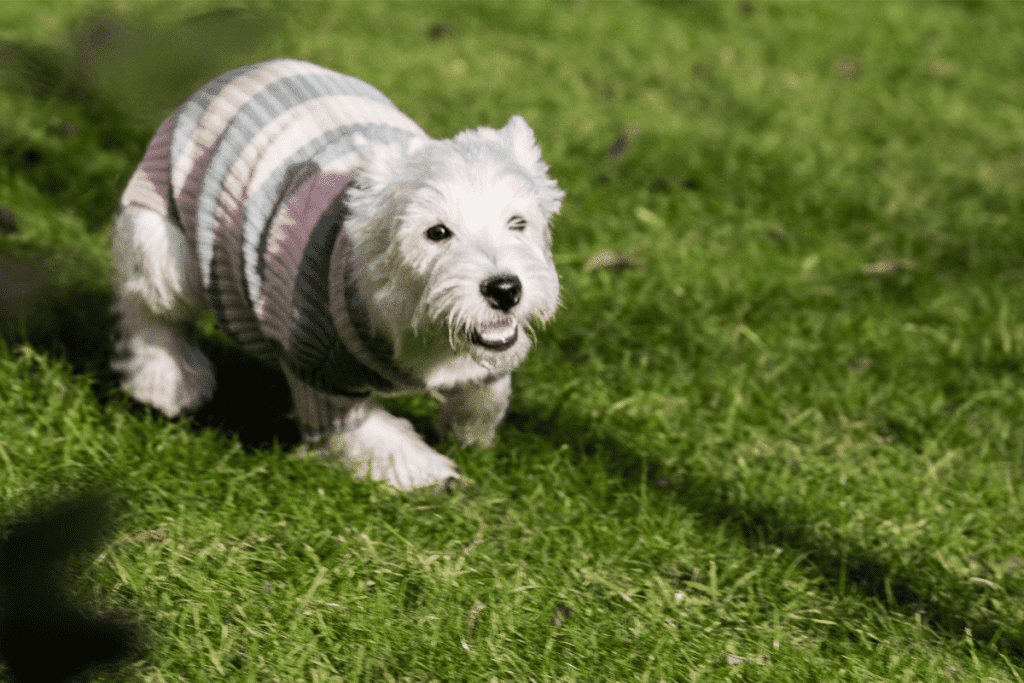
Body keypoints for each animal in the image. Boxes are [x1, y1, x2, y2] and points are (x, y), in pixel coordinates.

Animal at [110, 56, 569, 489]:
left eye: (518, 223)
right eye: (437, 232)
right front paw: (438, 477)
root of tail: (236, 74)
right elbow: (377, 438)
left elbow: (489, 389)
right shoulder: (318, 371)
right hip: (168, 249)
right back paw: (169, 381)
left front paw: (467, 433)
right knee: (146, 305)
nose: (505, 289)